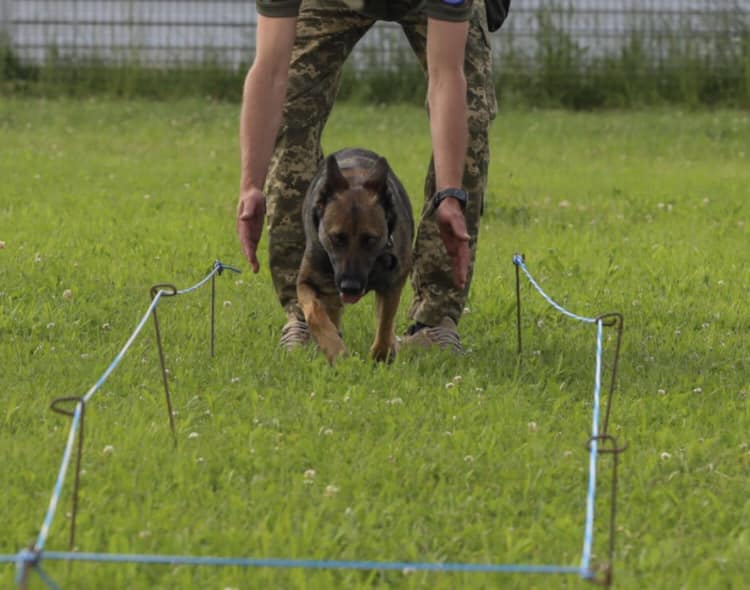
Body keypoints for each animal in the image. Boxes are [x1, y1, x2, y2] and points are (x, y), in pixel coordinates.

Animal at [297, 148, 414, 363]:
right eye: (337, 237)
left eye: (370, 239)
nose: (350, 287)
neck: (355, 180)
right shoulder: (307, 282)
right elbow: (314, 313)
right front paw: (335, 349)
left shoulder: (393, 283)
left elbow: (385, 323)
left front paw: (381, 355)